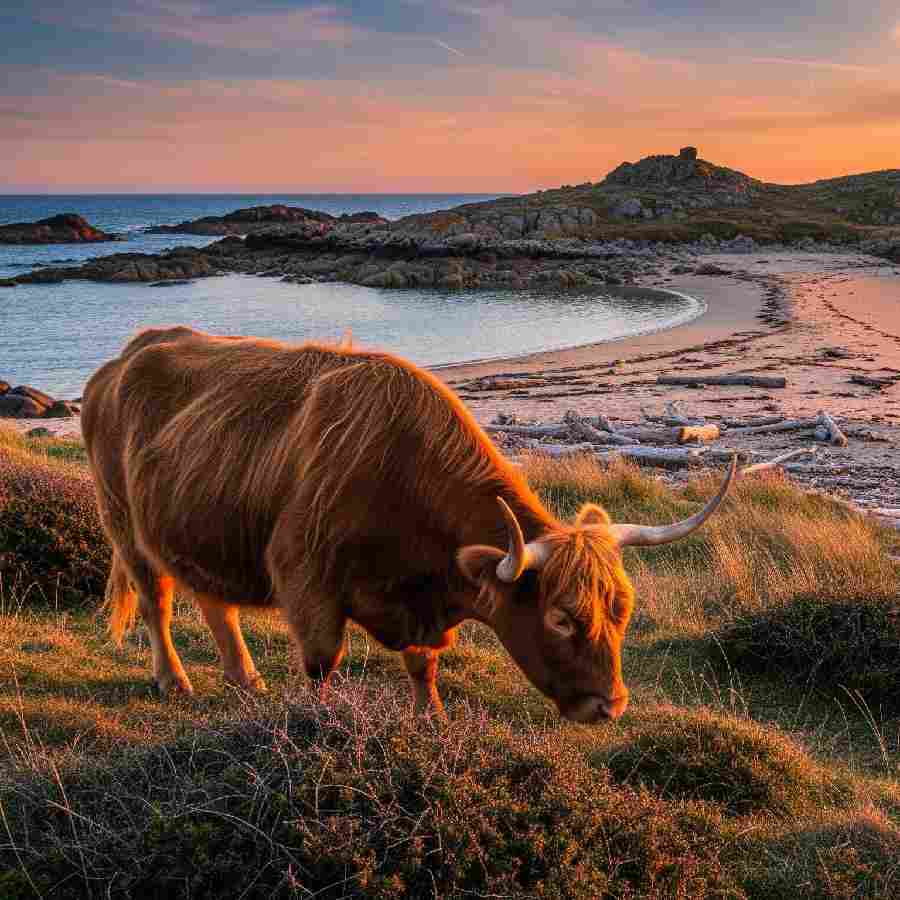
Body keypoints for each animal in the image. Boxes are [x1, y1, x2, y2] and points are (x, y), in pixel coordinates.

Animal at [82, 327, 734, 722]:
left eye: (622, 610)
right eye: (560, 617)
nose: (612, 705)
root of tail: (123, 358)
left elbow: (424, 664)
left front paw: (432, 721)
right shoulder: (306, 580)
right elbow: (322, 665)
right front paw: (319, 725)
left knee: (216, 603)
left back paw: (246, 680)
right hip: (122, 523)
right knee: (157, 601)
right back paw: (174, 682)